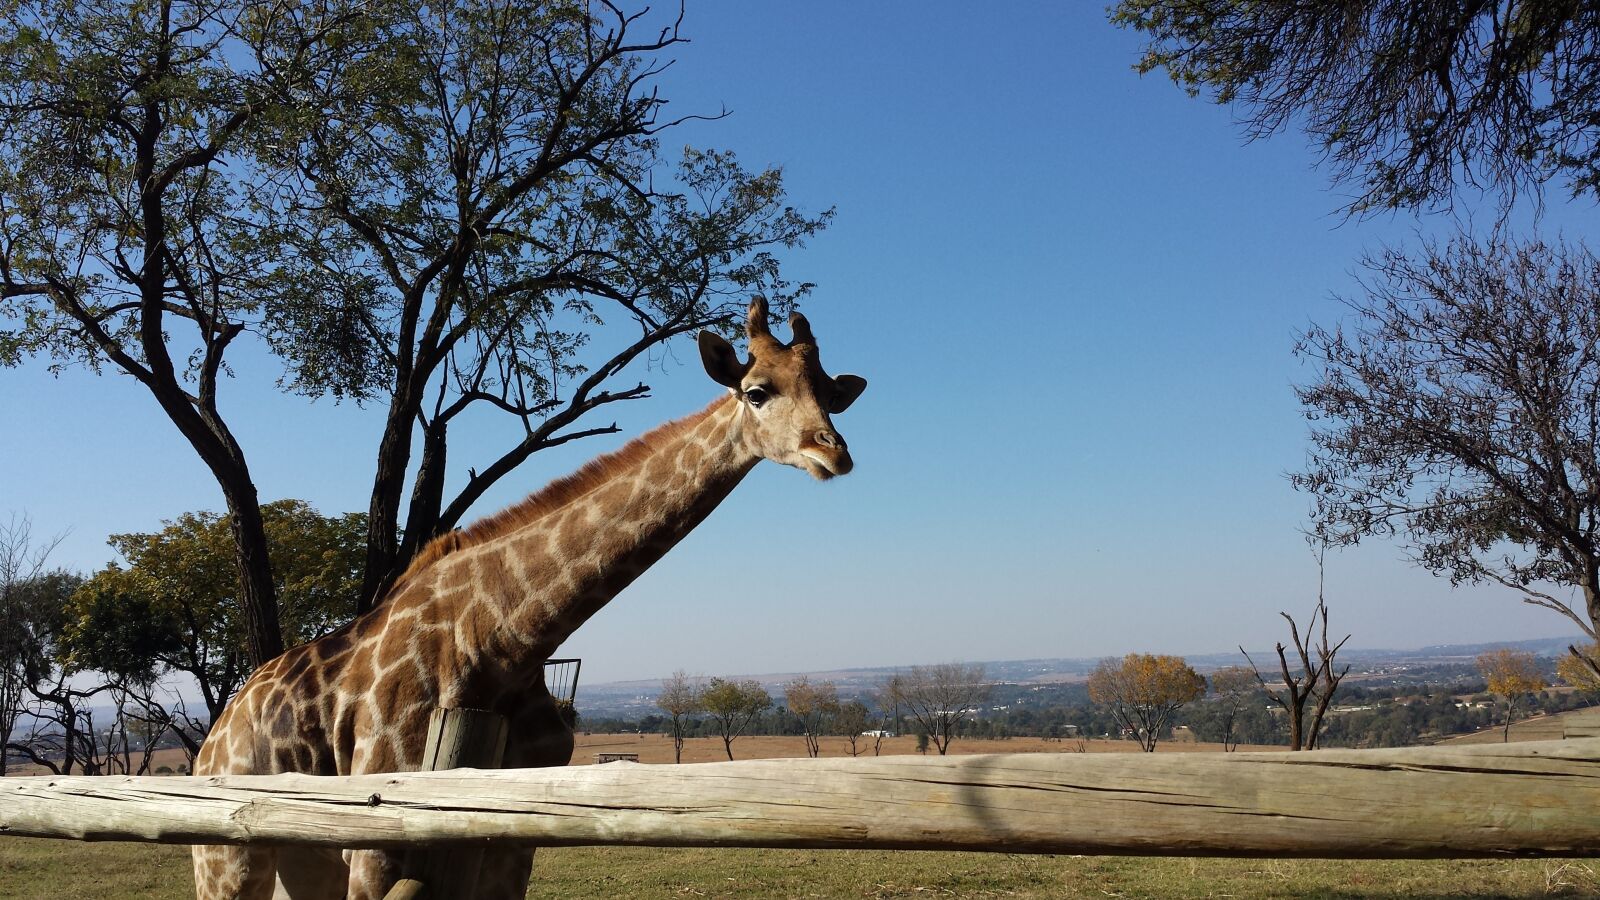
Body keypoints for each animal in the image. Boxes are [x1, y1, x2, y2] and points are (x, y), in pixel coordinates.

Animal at [191, 297, 867, 900]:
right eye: (756, 391)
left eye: (831, 394)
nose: (831, 451)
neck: (504, 641)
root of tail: (213, 735)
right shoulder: (383, 817)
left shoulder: (515, 832)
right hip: (230, 855)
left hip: (303, 856)